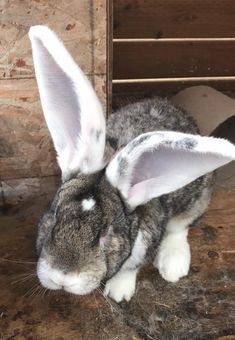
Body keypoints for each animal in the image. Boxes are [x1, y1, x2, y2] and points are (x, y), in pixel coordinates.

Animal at [28, 25, 235, 302]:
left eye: (105, 234)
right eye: (53, 218)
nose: (62, 278)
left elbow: (131, 267)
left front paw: (118, 292)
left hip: (197, 199)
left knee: (180, 227)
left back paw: (173, 266)